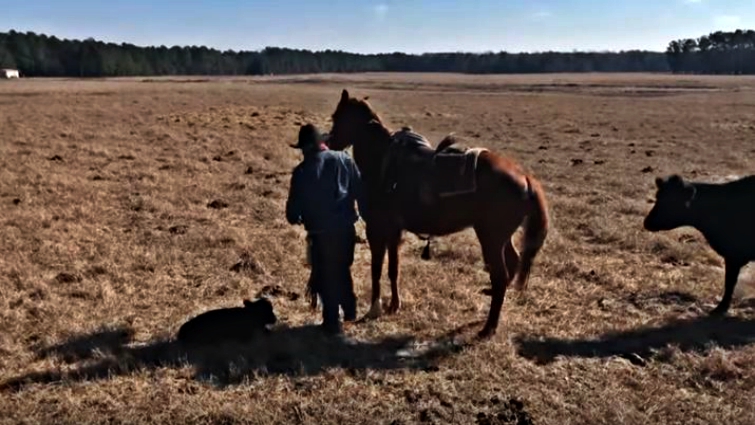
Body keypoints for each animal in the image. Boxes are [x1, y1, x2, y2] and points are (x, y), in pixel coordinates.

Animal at [327, 89, 550, 338]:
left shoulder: (377, 230)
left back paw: (488, 327)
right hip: (500, 238)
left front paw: (374, 309)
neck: (382, 161)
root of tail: (525, 179)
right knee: (513, 262)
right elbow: (393, 269)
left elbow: (376, 269)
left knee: (500, 275)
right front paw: (394, 305)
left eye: (338, 117)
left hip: (490, 238)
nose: (329, 142)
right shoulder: (394, 232)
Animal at [644, 174, 755, 315]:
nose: (646, 222)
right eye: (658, 197)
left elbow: (729, 282)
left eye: (670, 201)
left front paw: (720, 309)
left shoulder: (733, 255)